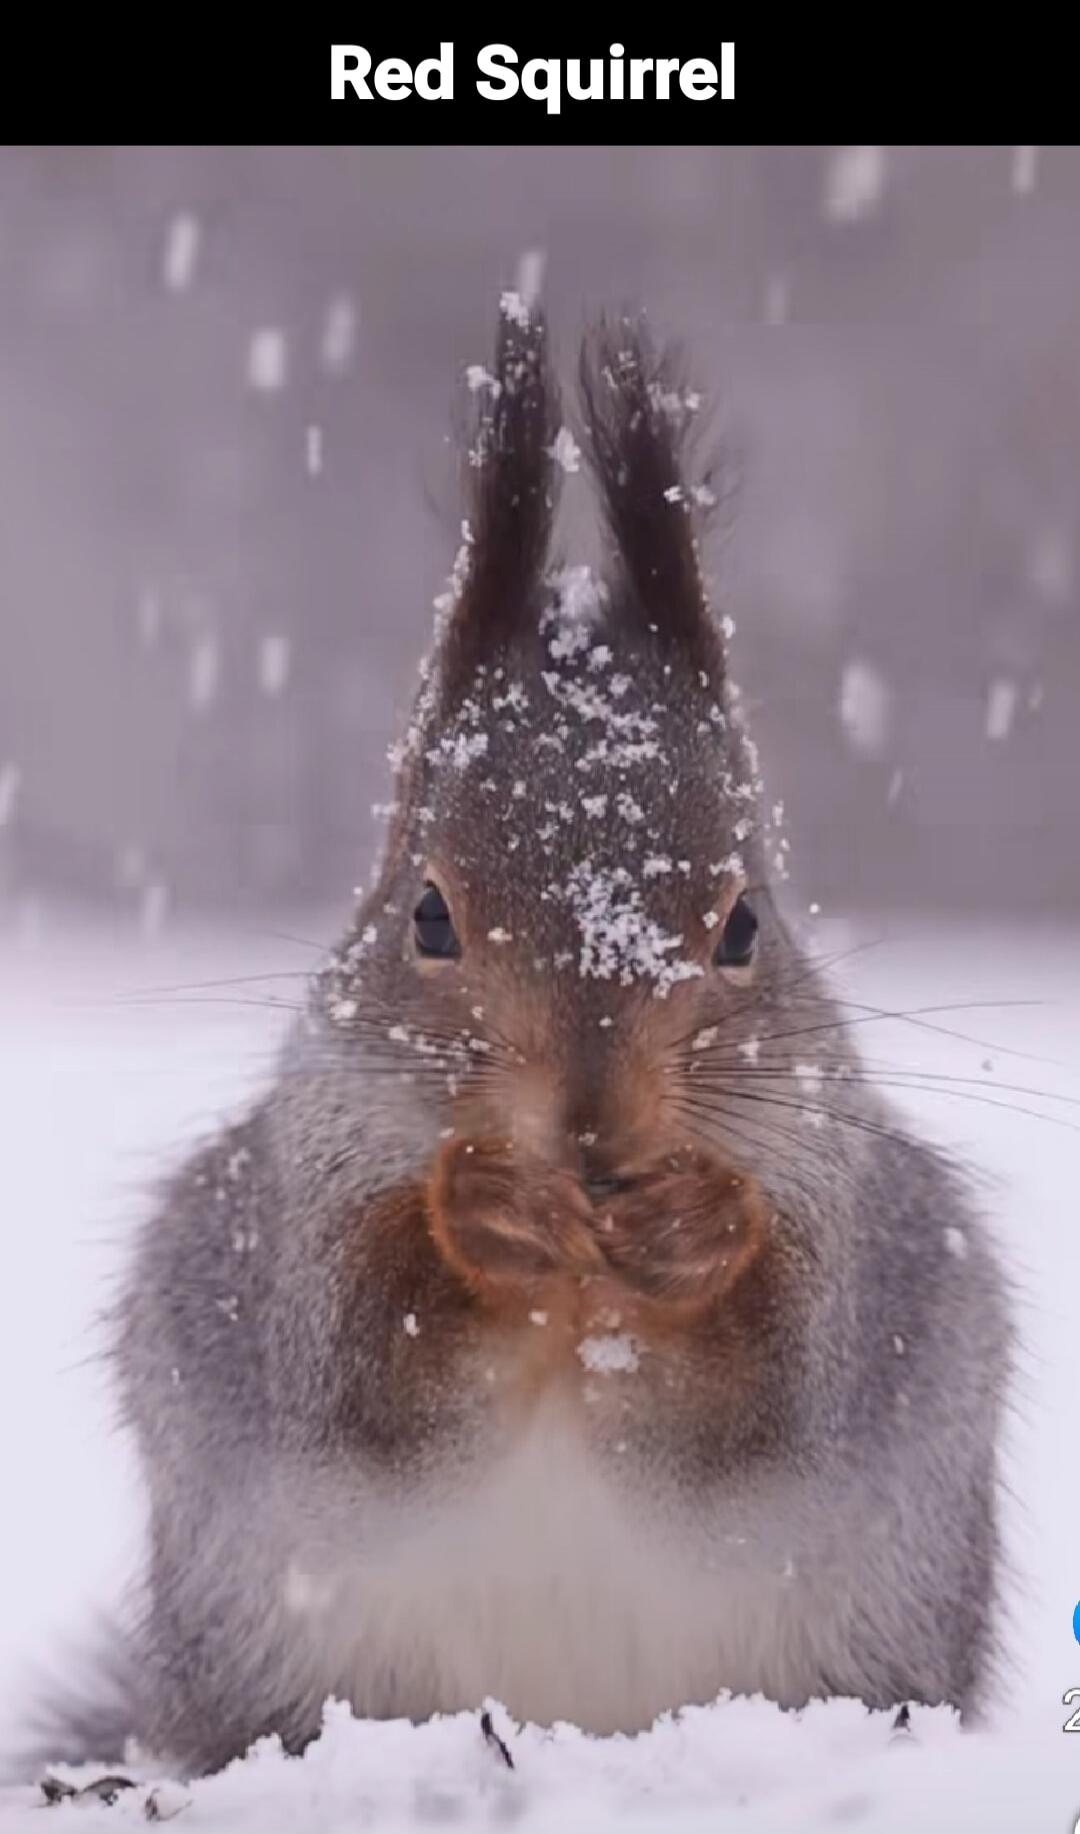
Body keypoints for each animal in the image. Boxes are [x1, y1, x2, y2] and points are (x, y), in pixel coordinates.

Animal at [34, 303, 1010, 1777]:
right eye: (428, 914)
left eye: (745, 924)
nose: (592, 1127)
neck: (579, 1276)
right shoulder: (284, 1230)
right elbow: (363, 1368)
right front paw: (481, 1212)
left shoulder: (864, 1257)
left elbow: (767, 1393)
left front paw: (694, 1234)